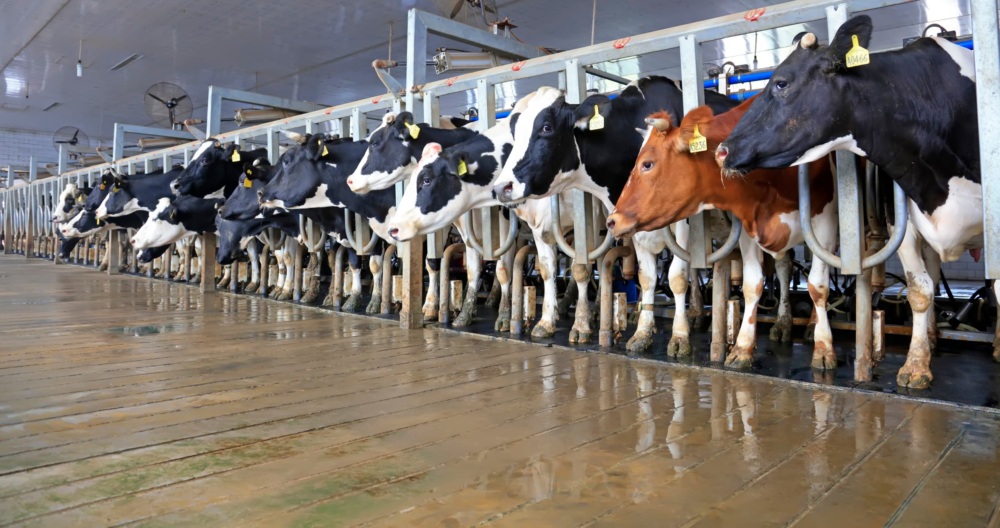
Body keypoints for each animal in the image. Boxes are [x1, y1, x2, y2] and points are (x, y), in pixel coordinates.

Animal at [490, 76, 736, 346]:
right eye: (515, 133)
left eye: (546, 127)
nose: (501, 187)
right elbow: (645, 276)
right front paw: (641, 333)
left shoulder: (683, 223)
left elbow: (676, 278)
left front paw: (679, 338)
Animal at [604, 100, 840, 372]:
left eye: (647, 164)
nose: (612, 221)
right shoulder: (747, 225)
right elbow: (651, 279)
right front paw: (642, 333)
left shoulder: (825, 222)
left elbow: (817, 285)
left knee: (789, 270)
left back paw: (798, 324)